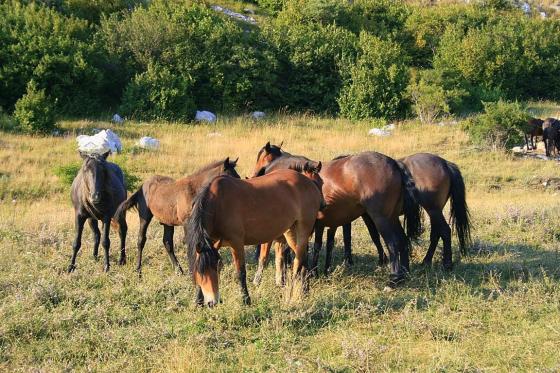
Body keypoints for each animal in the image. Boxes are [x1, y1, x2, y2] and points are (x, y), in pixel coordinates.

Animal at [186, 164, 324, 306]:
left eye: (218, 266)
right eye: (200, 271)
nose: (212, 302)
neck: (218, 205)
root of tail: (309, 182)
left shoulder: (236, 243)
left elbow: (241, 272)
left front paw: (246, 300)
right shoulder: (211, 243)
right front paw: (198, 302)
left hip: (303, 230)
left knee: (298, 263)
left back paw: (291, 295)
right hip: (290, 232)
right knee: (303, 260)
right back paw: (305, 291)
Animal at [253, 142, 420, 284]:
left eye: (259, 157)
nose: (254, 175)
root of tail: (394, 163)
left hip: (382, 219)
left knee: (393, 243)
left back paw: (394, 279)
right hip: (391, 218)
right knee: (403, 241)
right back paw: (404, 274)